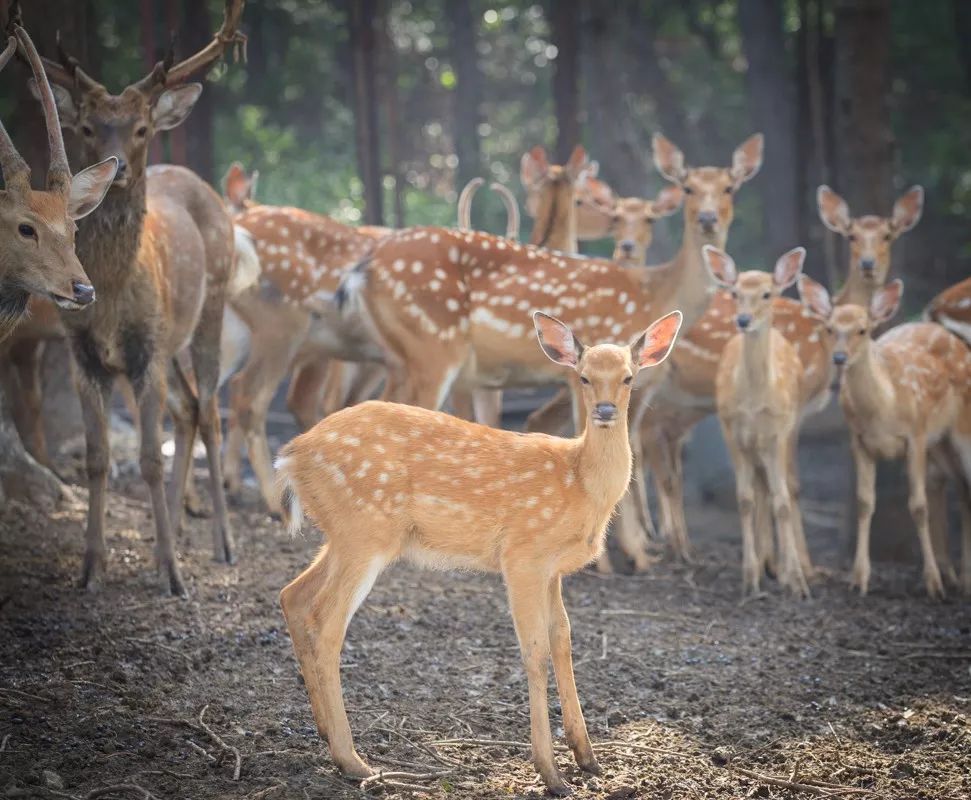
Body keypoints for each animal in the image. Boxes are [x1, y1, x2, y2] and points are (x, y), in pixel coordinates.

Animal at [25, 0, 247, 592]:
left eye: (141, 128)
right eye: (86, 127)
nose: (118, 167)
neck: (111, 294)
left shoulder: (146, 351)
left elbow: (148, 457)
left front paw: (173, 574)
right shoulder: (85, 355)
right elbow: (98, 458)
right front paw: (90, 567)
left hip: (208, 312)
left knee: (211, 413)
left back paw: (222, 544)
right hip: (164, 349)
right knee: (188, 410)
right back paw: (170, 536)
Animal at [274, 310, 684, 796]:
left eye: (627, 377)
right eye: (583, 377)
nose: (604, 411)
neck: (581, 486)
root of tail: (292, 455)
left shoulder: (553, 570)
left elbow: (562, 639)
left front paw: (587, 758)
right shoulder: (523, 554)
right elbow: (534, 650)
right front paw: (550, 772)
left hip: (342, 534)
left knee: (293, 595)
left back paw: (324, 734)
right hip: (365, 530)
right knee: (327, 620)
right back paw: (352, 760)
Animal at [708, 247, 812, 596]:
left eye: (767, 294)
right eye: (735, 293)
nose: (743, 320)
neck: (754, 401)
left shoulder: (779, 430)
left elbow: (782, 502)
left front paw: (797, 583)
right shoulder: (730, 428)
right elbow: (745, 499)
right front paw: (750, 577)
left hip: (792, 429)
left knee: (785, 488)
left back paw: (789, 569)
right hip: (755, 445)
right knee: (762, 488)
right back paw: (769, 564)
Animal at [796, 278, 971, 596]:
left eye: (862, 330)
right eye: (830, 328)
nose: (839, 357)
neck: (883, 410)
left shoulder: (915, 435)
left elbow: (918, 506)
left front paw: (933, 584)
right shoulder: (859, 441)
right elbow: (865, 502)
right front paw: (858, 579)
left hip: (960, 428)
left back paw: (960, 580)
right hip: (939, 442)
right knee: (958, 487)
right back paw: (959, 578)